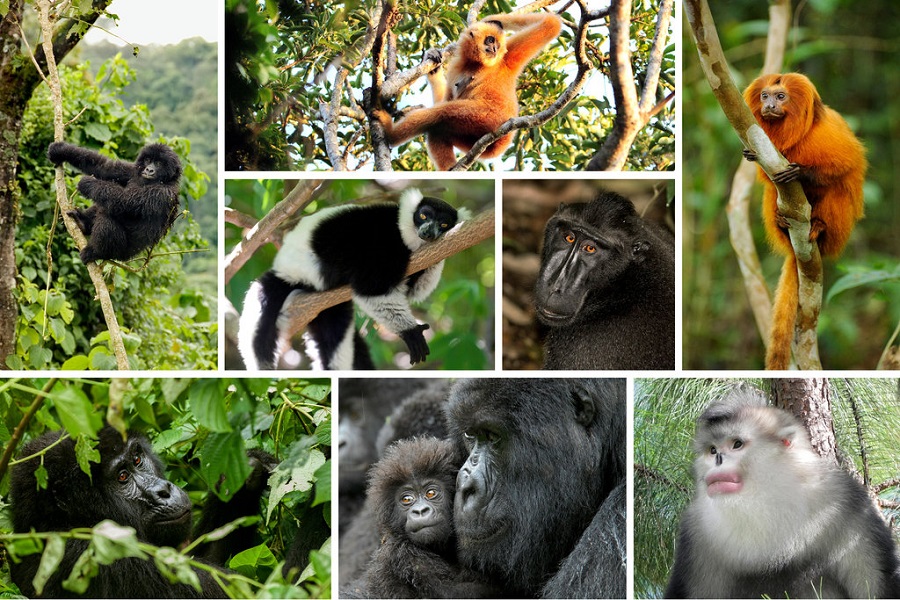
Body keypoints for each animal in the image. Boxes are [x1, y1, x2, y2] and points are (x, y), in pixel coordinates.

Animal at [237, 189, 463, 370]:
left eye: (444, 224)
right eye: (423, 215)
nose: (429, 233)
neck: (400, 232)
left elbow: (413, 291)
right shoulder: (382, 246)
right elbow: (373, 289)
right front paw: (409, 332)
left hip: (328, 307)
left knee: (333, 337)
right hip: (296, 275)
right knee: (264, 306)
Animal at [373, 12, 562, 171]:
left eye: (496, 43)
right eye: (490, 40)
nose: (494, 49)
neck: (474, 64)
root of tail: (502, 142)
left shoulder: (506, 58)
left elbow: (550, 24)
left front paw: (491, 19)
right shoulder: (460, 68)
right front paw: (434, 66)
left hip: (486, 118)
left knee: (440, 115)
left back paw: (390, 132)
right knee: (438, 128)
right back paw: (449, 169)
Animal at [665, 389, 900, 599]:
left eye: (737, 444)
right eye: (712, 450)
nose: (718, 459)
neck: (767, 500)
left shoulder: (846, 502)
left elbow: (878, 585)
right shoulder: (695, 530)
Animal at [742, 73, 867, 370]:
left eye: (781, 96)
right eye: (764, 95)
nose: (770, 106)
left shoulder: (830, 133)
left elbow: (845, 167)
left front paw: (801, 173)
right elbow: (766, 179)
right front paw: (752, 156)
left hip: (838, 231)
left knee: (839, 190)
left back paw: (819, 229)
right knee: (773, 195)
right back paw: (781, 222)